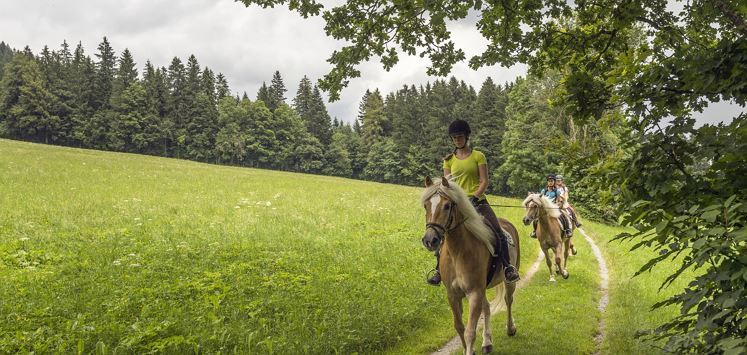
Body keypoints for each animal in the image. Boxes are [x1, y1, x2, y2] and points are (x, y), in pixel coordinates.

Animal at [420, 177, 520, 354]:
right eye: (426, 205)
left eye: (447, 206)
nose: (430, 240)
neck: (458, 252)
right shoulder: (453, 295)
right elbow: (459, 326)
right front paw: (470, 349)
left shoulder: (474, 292)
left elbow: (470, 331)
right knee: (487, 308)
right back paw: (487, 343)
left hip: (508, 281)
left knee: (508, 300)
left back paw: (510, 328)